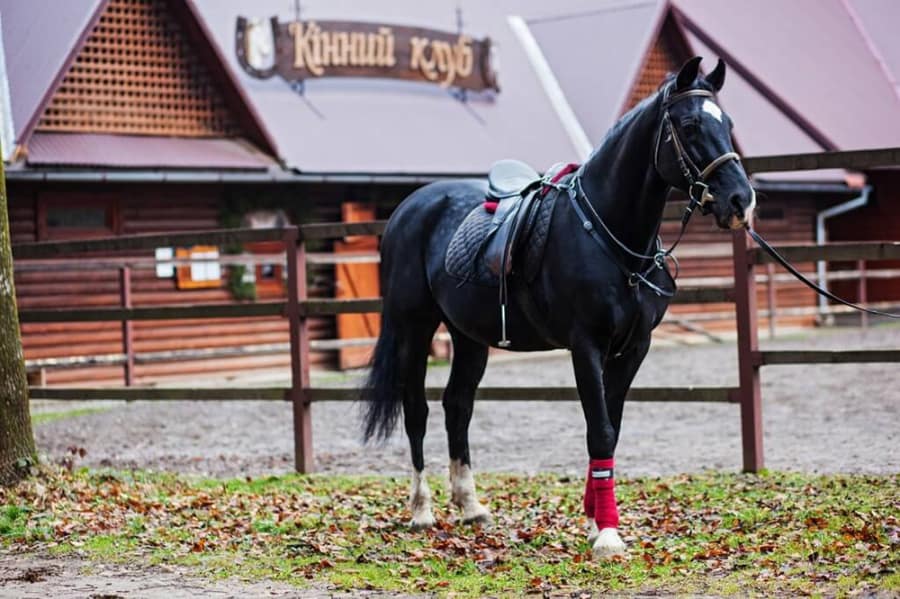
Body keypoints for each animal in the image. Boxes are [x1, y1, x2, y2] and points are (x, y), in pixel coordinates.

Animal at [362, 56, 756, 556]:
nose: (741, 201)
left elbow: (611, 426)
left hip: (469, 337)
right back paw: (422, 511)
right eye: (689, 126)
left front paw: (593, 520)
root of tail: (409, 208)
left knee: (457, 406)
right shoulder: (585, 345)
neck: (610, 235)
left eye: (729, 124)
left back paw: (470, 506)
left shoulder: (634, 348)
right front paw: (607, 533)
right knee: (417, 409)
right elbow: (599, 428)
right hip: (413, 326)